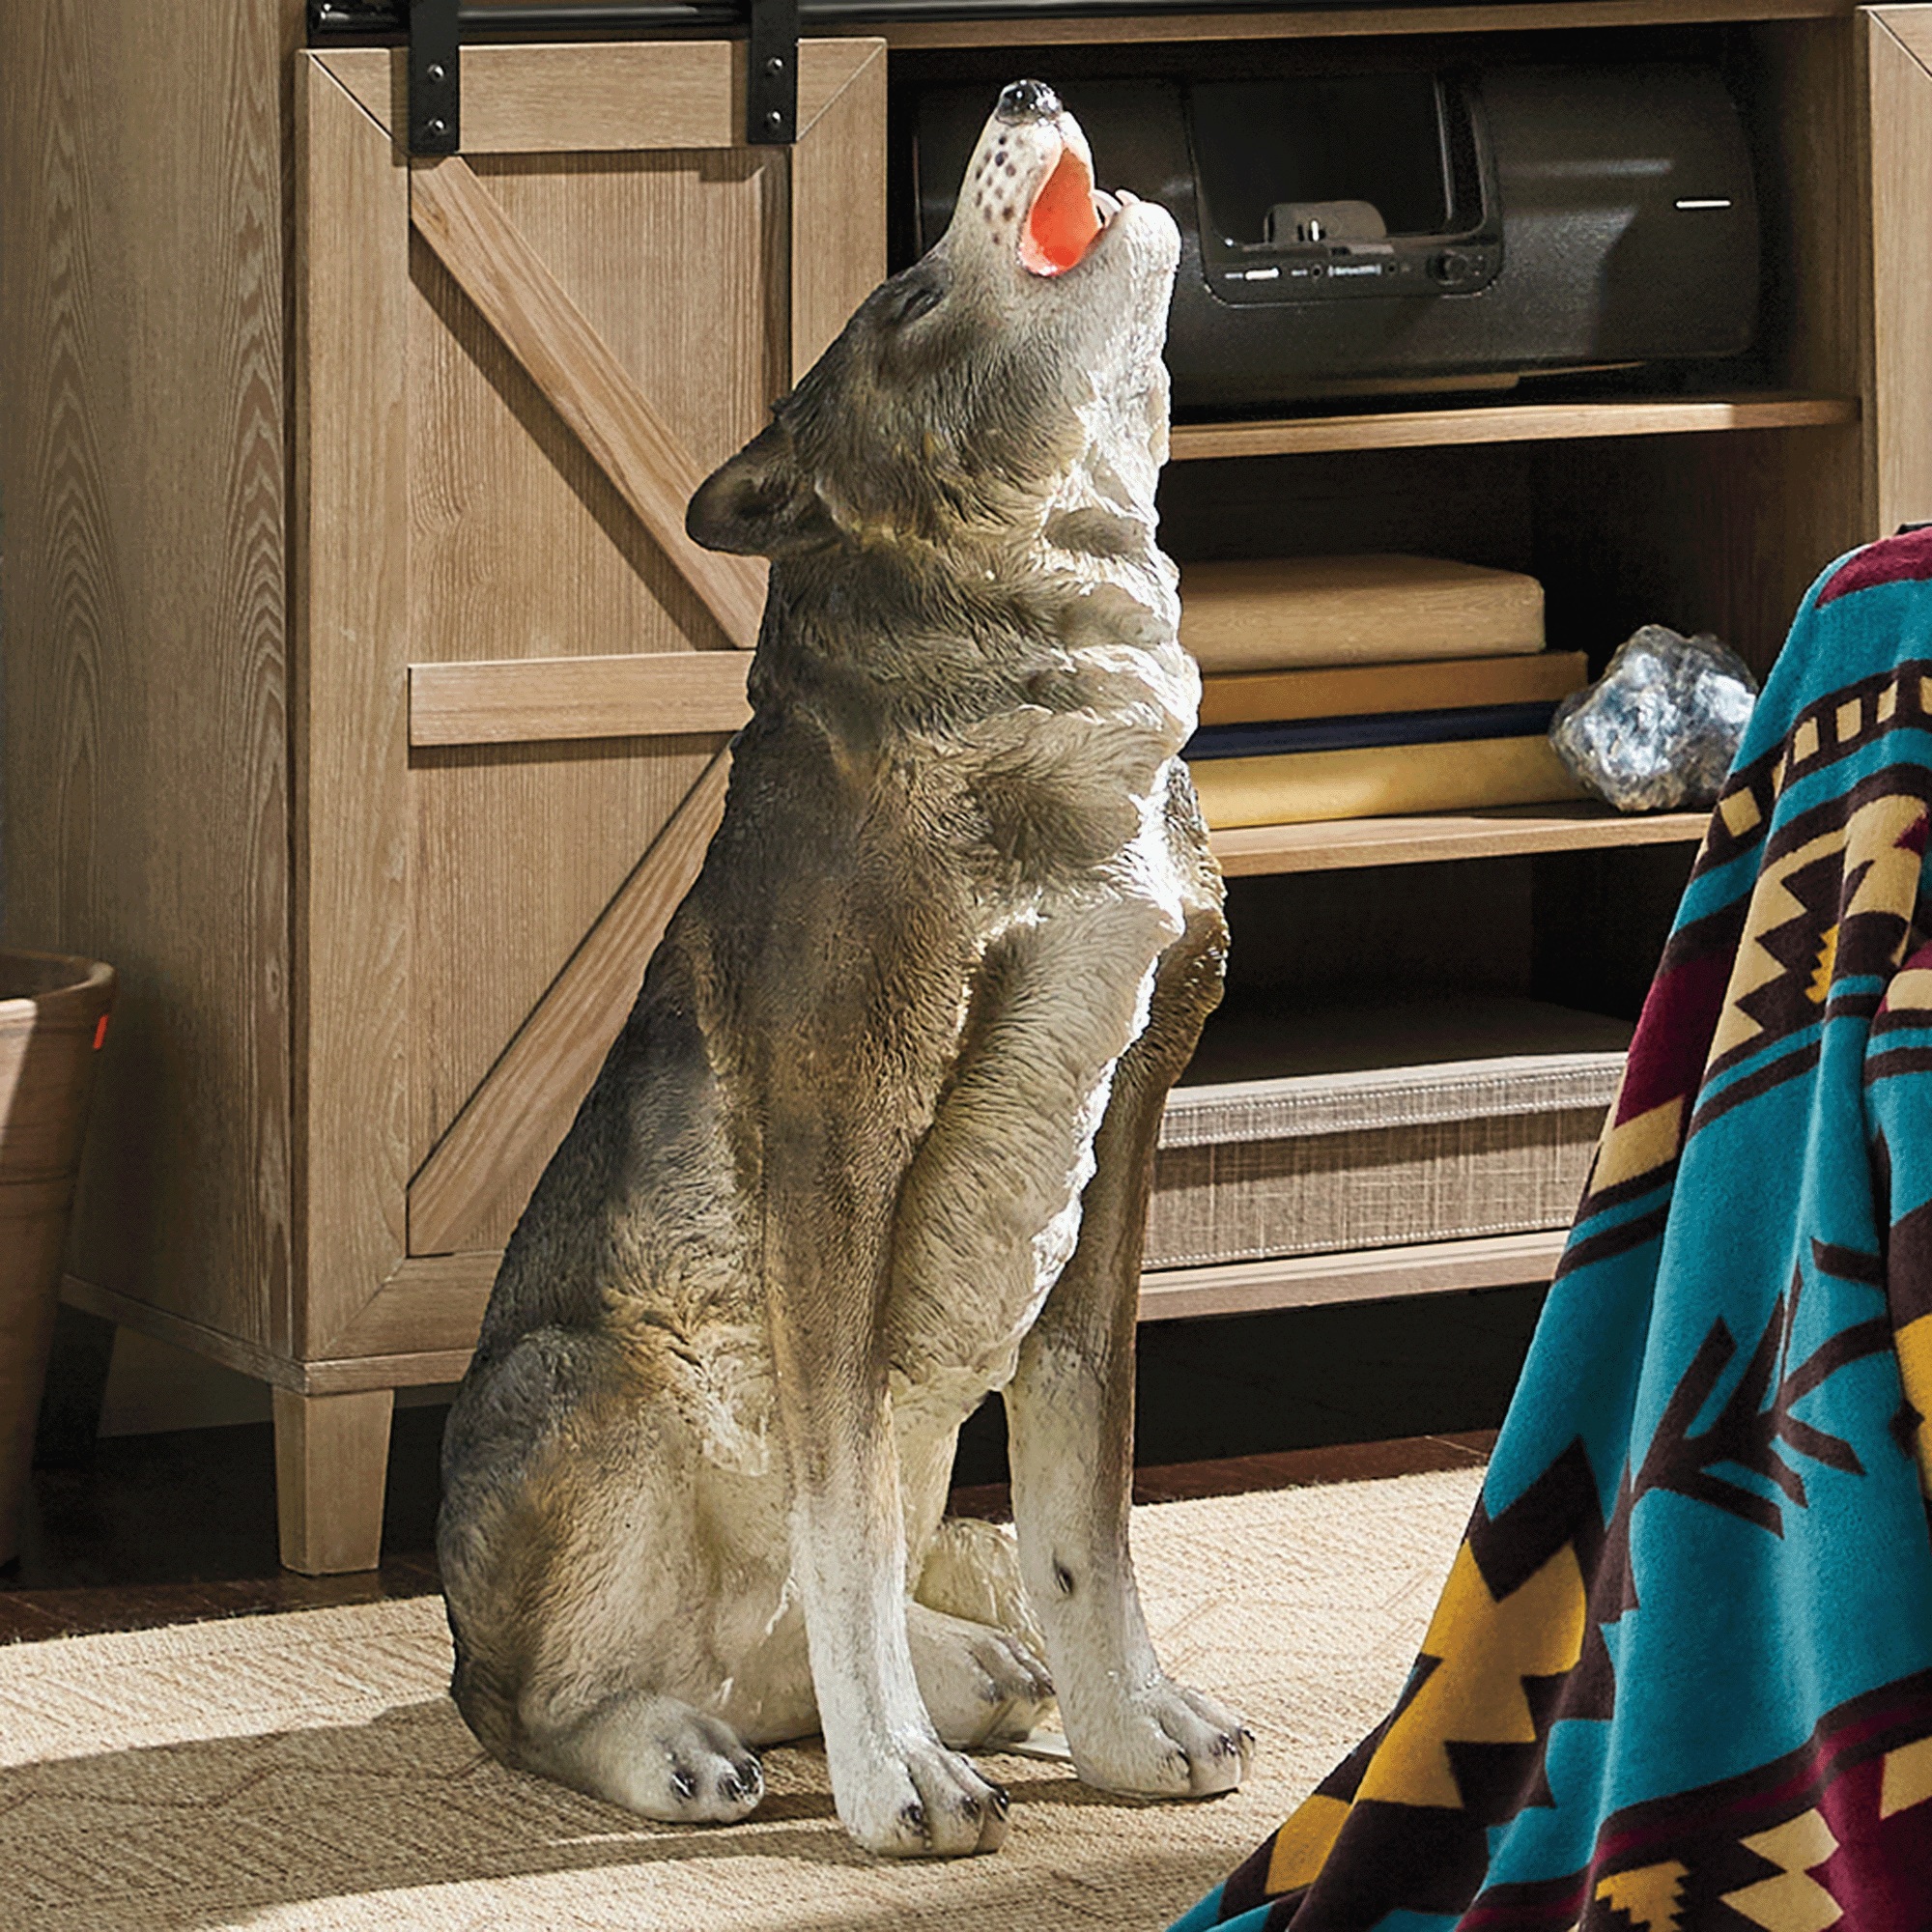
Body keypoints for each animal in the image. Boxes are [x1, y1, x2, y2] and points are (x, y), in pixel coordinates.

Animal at [437, 79, 1248, 1859]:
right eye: (910, 300)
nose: (1021, 87)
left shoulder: (1126, 1124)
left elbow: (1084, 1499)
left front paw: (1131, 1736)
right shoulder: (837, 1130)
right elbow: (850, 1506)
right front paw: (895, 1792)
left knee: (856, 1639)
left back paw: (968, 1696)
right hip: (587, 1381)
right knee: (524, 1711)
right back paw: (672, 1747)